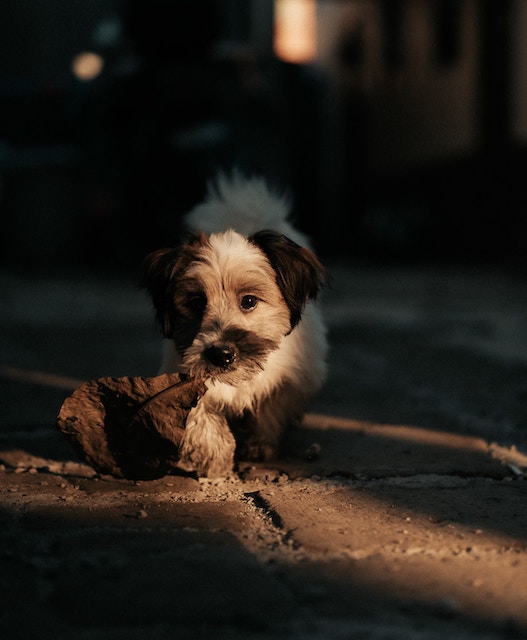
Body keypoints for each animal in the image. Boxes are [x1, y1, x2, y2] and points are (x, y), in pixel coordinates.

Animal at [142, 172, 328, 478]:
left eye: (249, 301)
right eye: (196, 302)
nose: (221, 354)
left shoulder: (288, 380)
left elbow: (270, 408)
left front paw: (260, 445)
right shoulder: (183, 379)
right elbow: (200, 419)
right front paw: (215, 459)